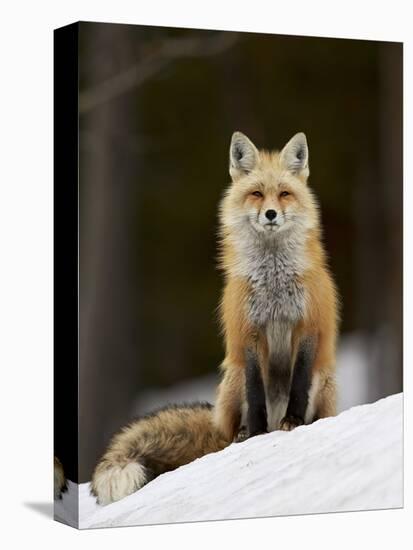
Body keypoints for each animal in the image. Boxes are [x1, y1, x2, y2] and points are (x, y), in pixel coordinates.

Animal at [212, 132, 338, 442]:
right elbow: (256, 390)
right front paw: (258, 432)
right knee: (226, 431)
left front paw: (294, 420)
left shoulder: (307, 324)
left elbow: (300, 381)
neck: (274, 283)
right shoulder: (250, 329)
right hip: (233, 378)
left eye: (284, 194)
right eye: (257, 194)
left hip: (324, 379)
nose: (270, 214)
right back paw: (243, 433)